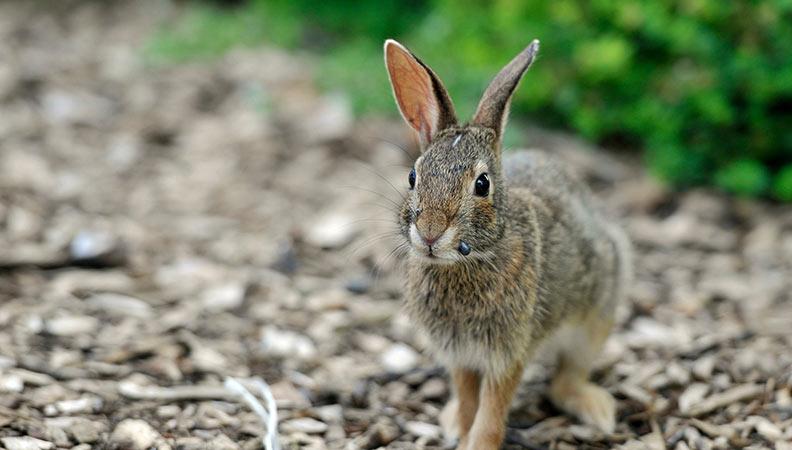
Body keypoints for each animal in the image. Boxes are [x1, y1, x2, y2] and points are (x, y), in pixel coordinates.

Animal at [383, 38, 632, 450]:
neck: (466, 263)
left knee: (566, 380)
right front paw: (459, 430)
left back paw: (597, 410)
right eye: (412, 177)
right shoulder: (460, 355)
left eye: (482, 184)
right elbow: (468, 396)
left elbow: (492, 407)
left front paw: (479, 444)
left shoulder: (509, 351)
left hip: (596, 315)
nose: (430, 232)